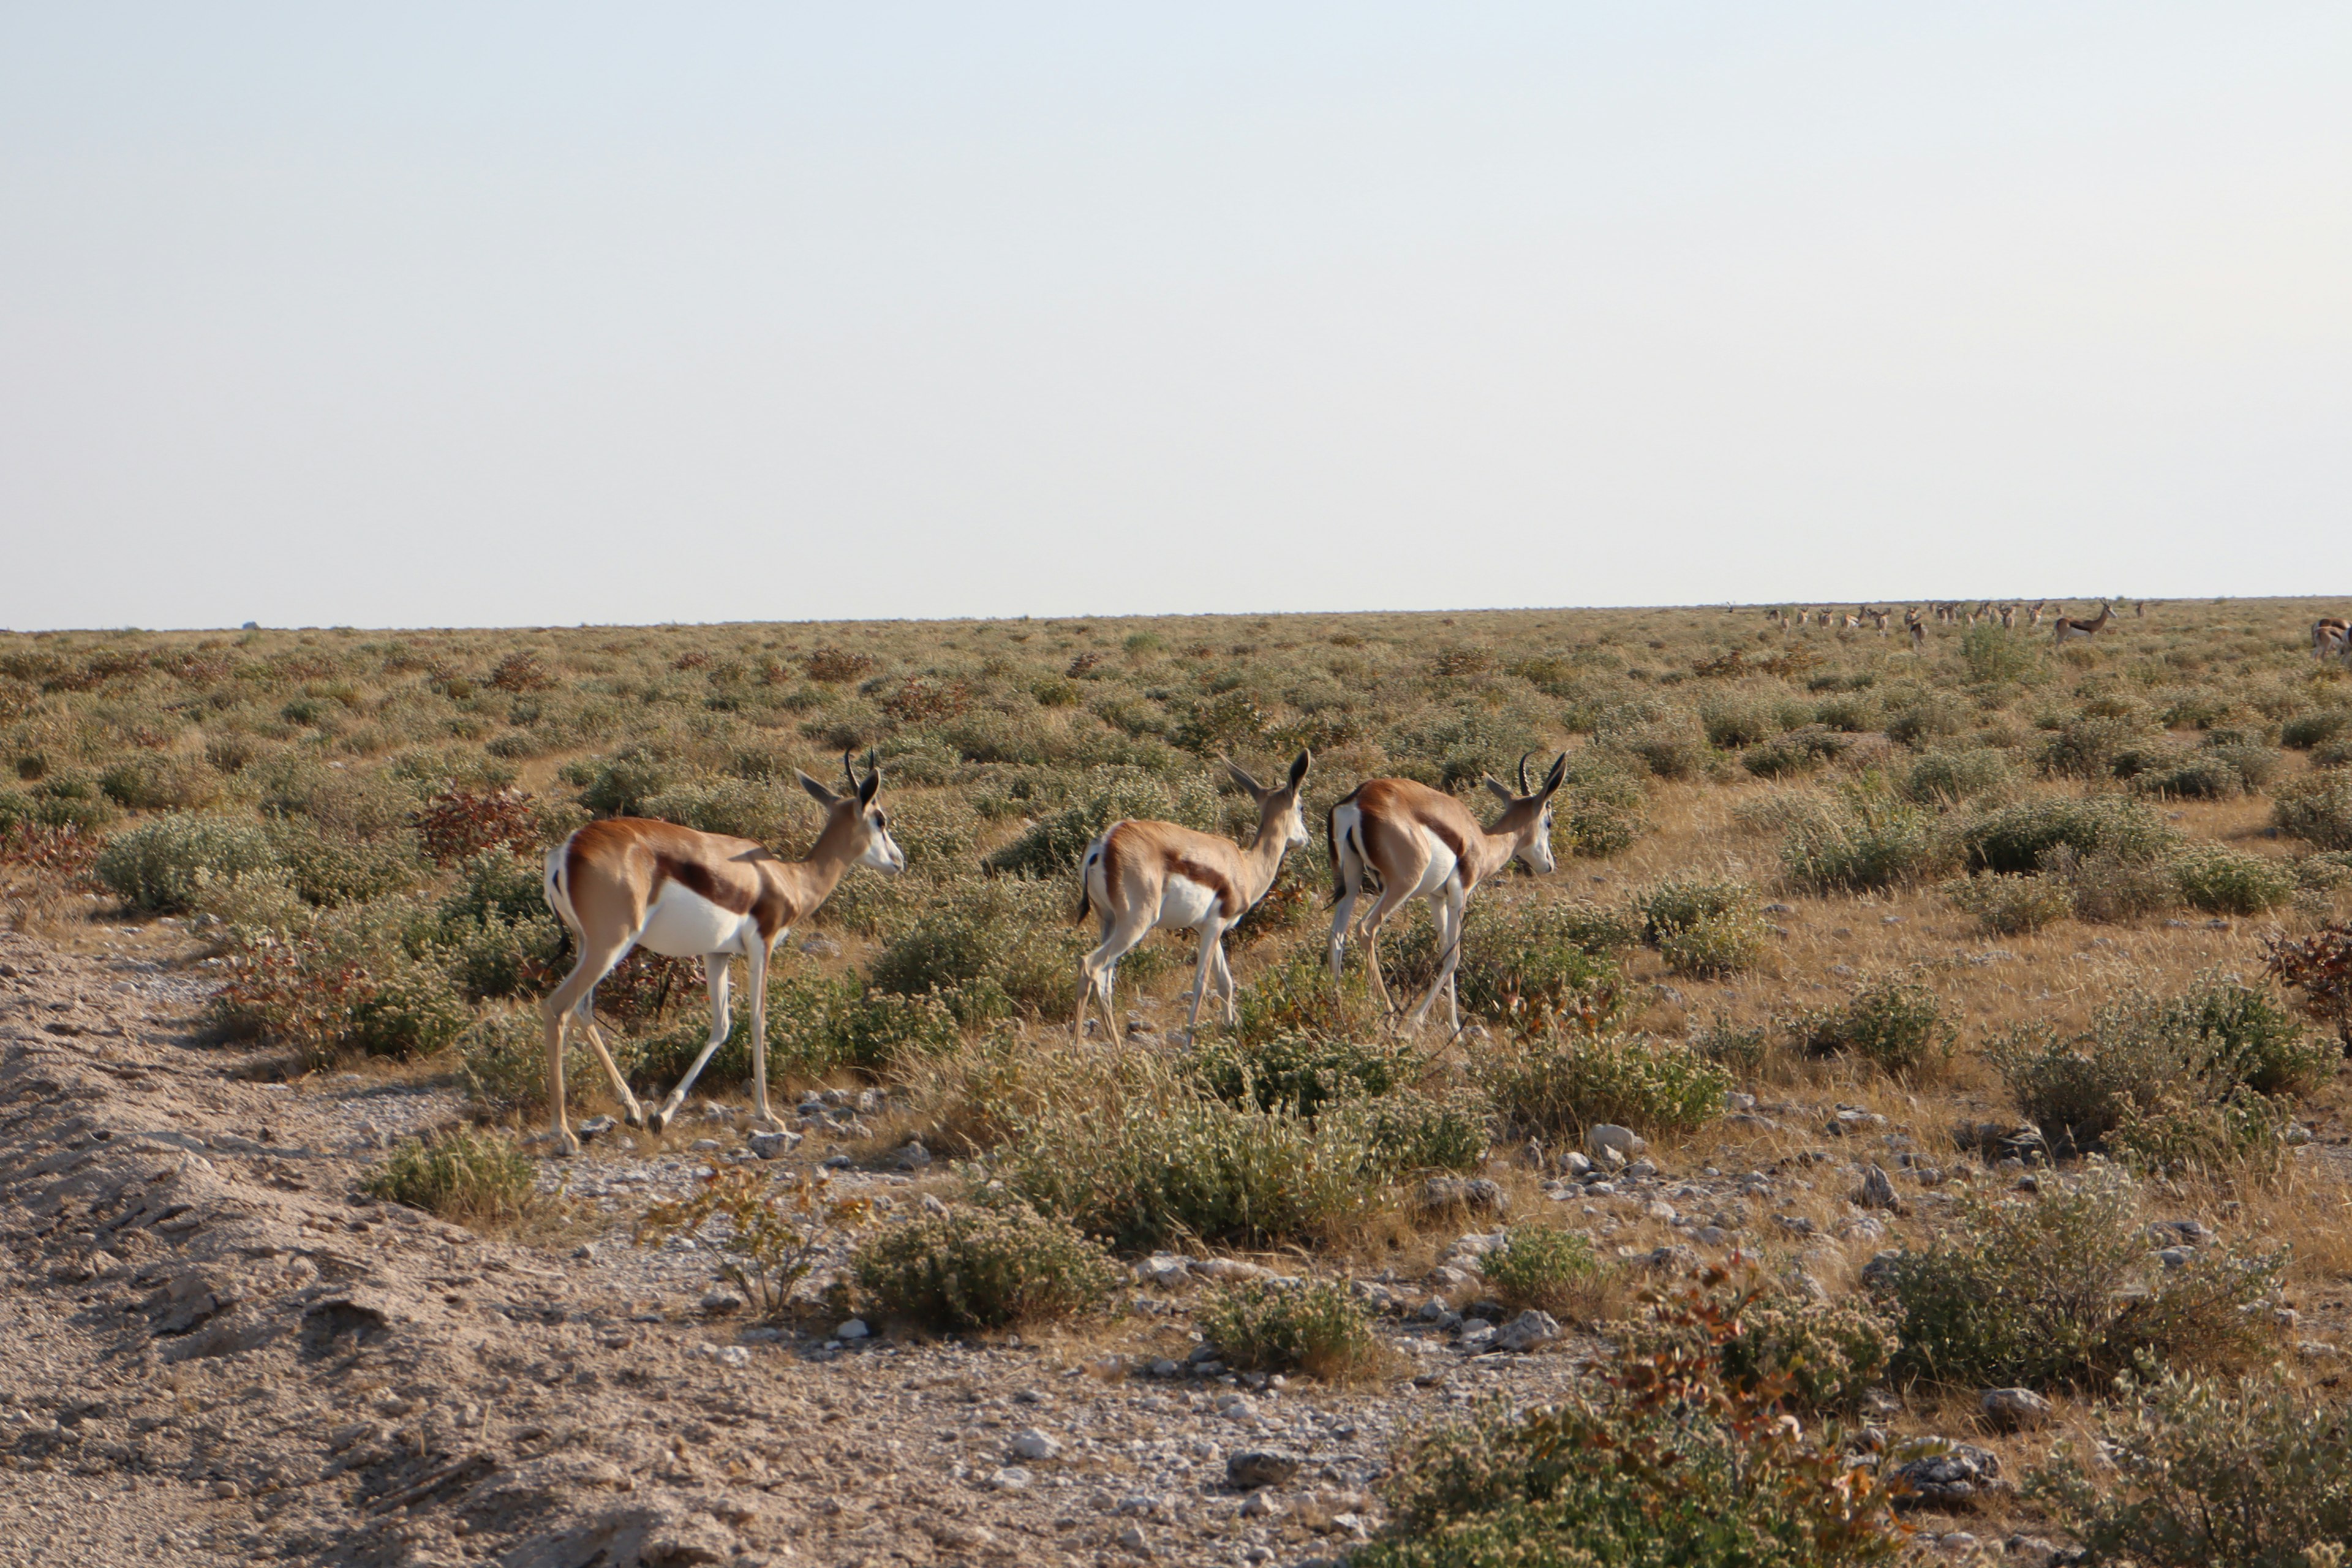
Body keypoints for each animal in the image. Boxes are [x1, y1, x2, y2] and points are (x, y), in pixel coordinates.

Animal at [538, 747, 903, 1152]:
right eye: (881, 819)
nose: (898, 861)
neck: (788, 879)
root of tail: (567, 850)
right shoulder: (763, 945)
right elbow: (758, 1020)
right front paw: (768, 1116)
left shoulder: (717, 954)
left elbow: (721, 1026)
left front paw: (662, 1114)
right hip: (611, 945)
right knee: (557, 1007)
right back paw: (564, 1133)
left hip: (589, 946)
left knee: (583, 1010)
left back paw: (631, 1109)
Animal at [1077, 752, 1317, 1044]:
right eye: (1301, 807)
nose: (1305, 838)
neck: (1245, 867)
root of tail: (1104, 844)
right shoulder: (1214, 926)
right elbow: (1201, 984)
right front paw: (1188, 1046)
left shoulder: (1208, 927)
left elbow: (1225, 983)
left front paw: (1232, 1032)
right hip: (1136, 924)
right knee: (1089, 966)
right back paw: (1076, 1050)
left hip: (1108, 921)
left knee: (1104, 981)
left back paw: (1118, 1049)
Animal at [1336, 752, 1571, 1034]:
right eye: (1549, 822)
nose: (1549, 864)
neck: (1481, 840)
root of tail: (1359, 799)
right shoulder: (1460, 894)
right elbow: (1454, 957)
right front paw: (1419, 1021)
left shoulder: (1436, 897)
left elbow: (1444, 951)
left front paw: (1455, 1029)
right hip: (1400, 886)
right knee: (1365, 928)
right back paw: (1390, 1015)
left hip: (1350, 883)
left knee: (1336, 935)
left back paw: (1334, 1001)